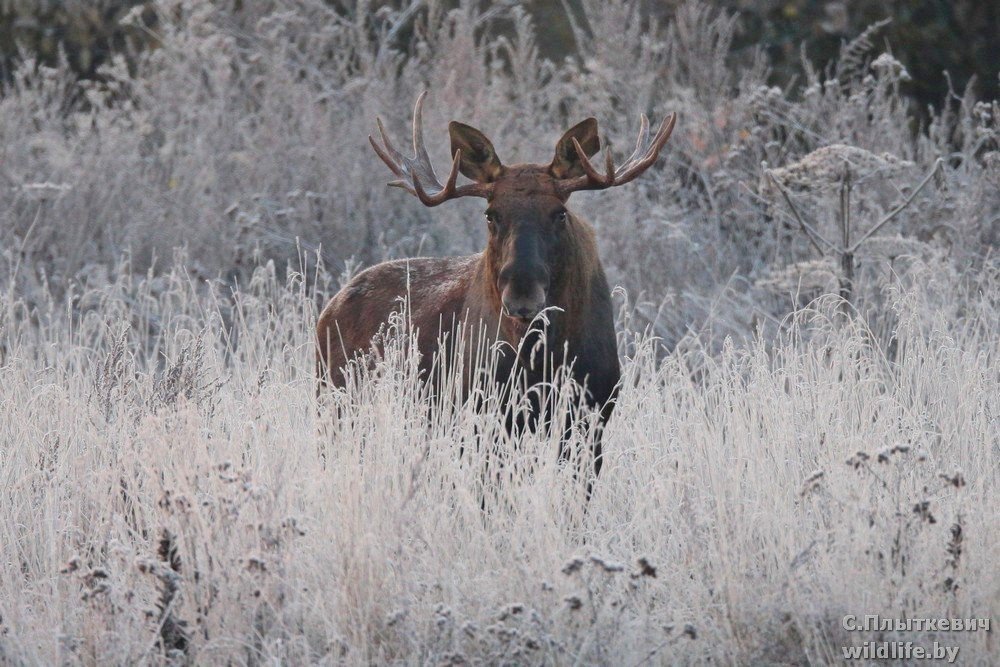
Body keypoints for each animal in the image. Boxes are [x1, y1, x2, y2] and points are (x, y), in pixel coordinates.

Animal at [318, 91, 680, 490]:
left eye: (560, 213)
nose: (522, 297)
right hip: (337, 402)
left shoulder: (591, 416)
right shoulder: (485, 414)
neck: (545, 358)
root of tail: (329, 308)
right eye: (491, 214)